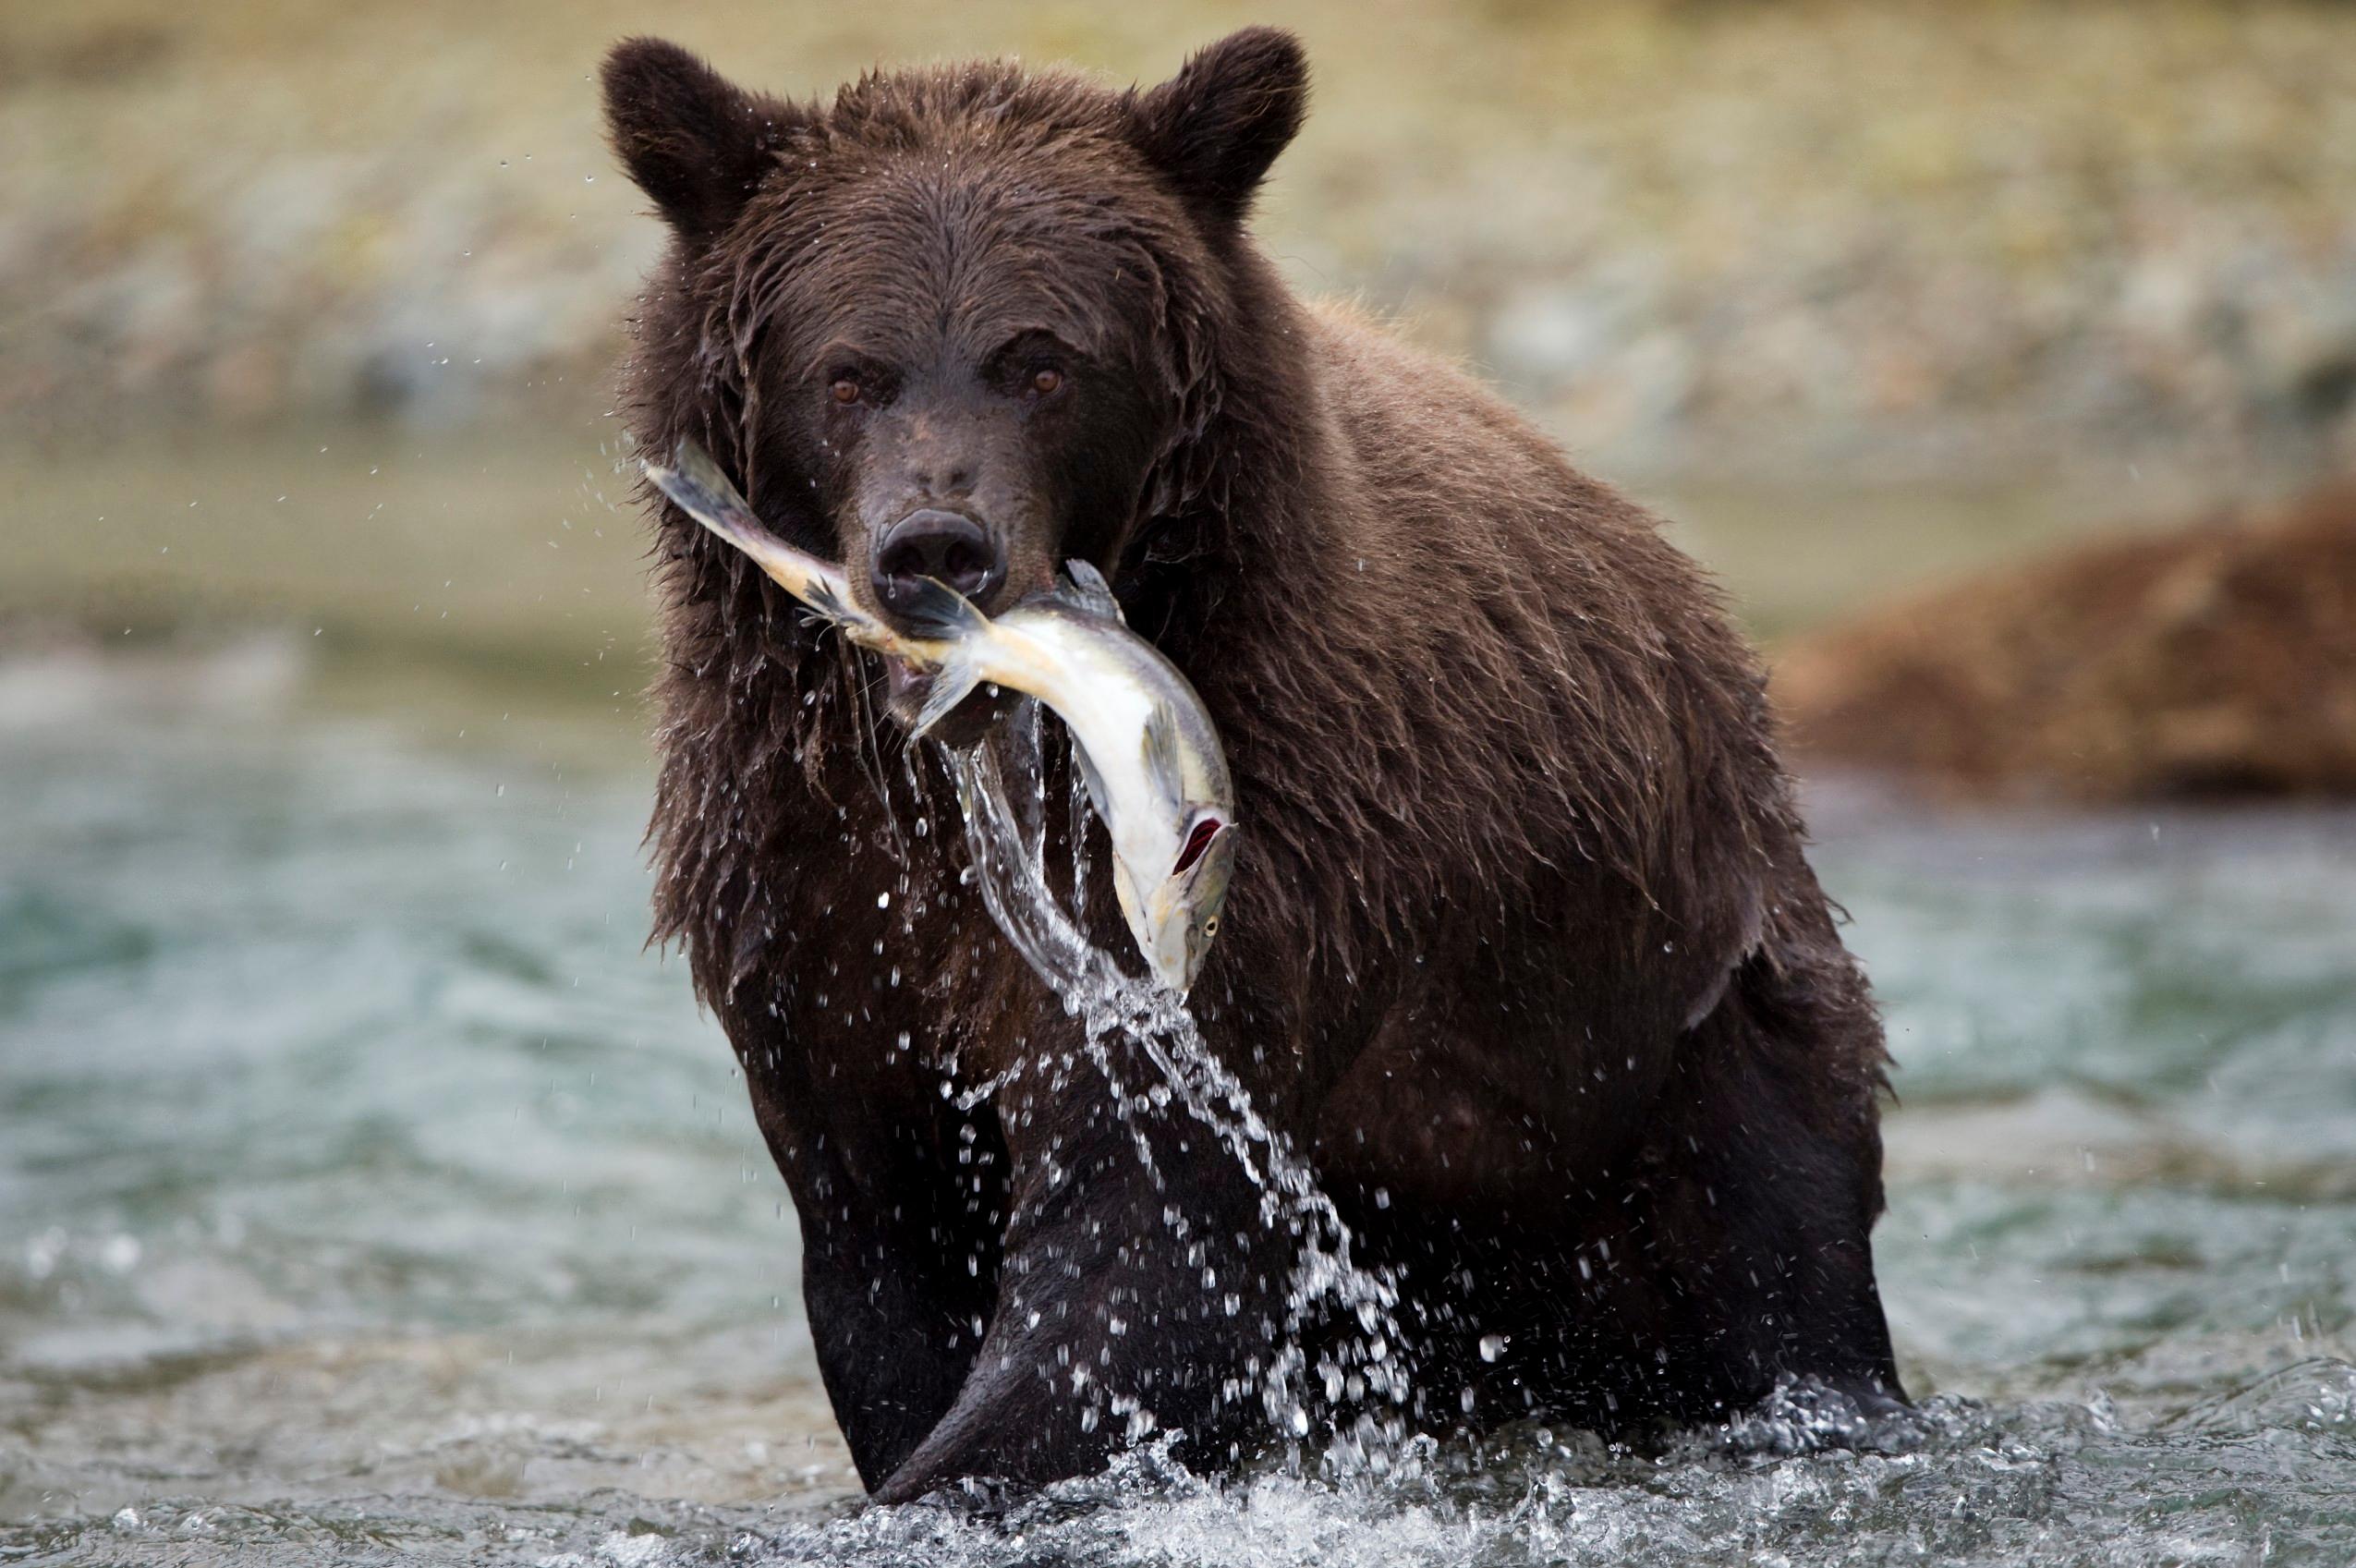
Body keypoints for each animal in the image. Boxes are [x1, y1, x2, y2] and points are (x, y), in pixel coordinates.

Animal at [602, 21, 1894, 1489]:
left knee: (1777, 1254)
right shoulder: (811, 911)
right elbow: (884, 1257)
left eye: (1039, 361)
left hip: (1662, 1028)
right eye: (849, 370)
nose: (935, 547)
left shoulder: (1283, 864)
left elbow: (1140, 1255)